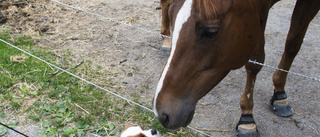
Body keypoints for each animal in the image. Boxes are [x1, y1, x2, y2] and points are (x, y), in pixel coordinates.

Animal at [153, 0, 320, 136]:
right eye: (172, 16)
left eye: (211, 31)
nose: (162, 113)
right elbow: (255, 60)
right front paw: (247, 117)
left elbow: (292, 45)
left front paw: (279, 93)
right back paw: (166, 39)